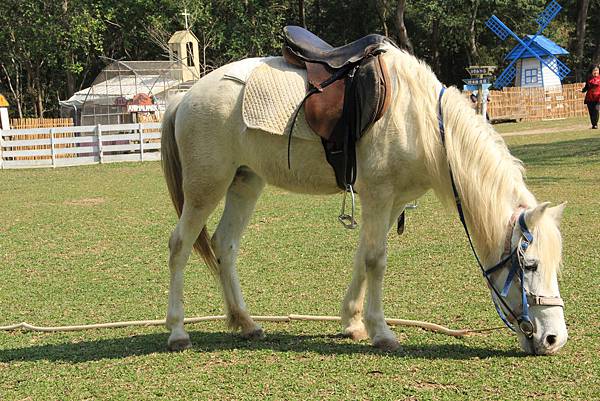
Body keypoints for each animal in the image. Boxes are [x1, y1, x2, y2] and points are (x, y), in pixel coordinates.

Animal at [159, 45, 568, 354]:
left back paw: (246, 323)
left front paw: (353, 323)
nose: (554, 339)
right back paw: (178, 331)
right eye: (530, 265)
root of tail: (185, 96)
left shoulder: (392, 201)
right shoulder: (378, 196)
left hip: (244, 183)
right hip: (205, 188)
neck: (418, 119)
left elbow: (362, 258)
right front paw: (381, 332)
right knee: (180, 245)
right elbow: (375, 260)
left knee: (224, 246)